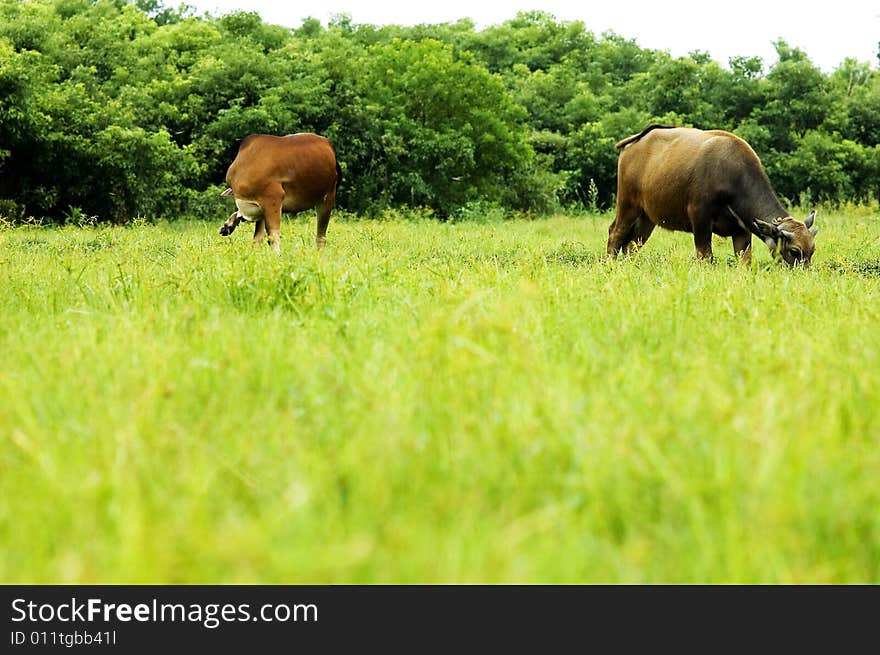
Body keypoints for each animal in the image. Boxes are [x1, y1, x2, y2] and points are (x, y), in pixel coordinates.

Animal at [604, 123, 820, 266]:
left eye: (812, 250)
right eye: (794, 251)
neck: (732, 176)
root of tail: (635, 141)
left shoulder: (742, 230)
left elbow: (745, 260)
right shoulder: (700, 218)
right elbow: (705, 256)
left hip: (648, 216)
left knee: (632, 244)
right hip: (627, 203)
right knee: (616, 233)